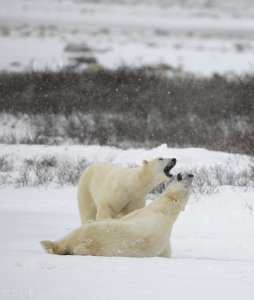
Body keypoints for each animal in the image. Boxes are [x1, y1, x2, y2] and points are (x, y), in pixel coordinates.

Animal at [40, 171, 193, 258]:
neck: (162, 210)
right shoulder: (137, 214)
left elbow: (166, 253)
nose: (189, 174)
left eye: (187, 187)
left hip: (88, 240)